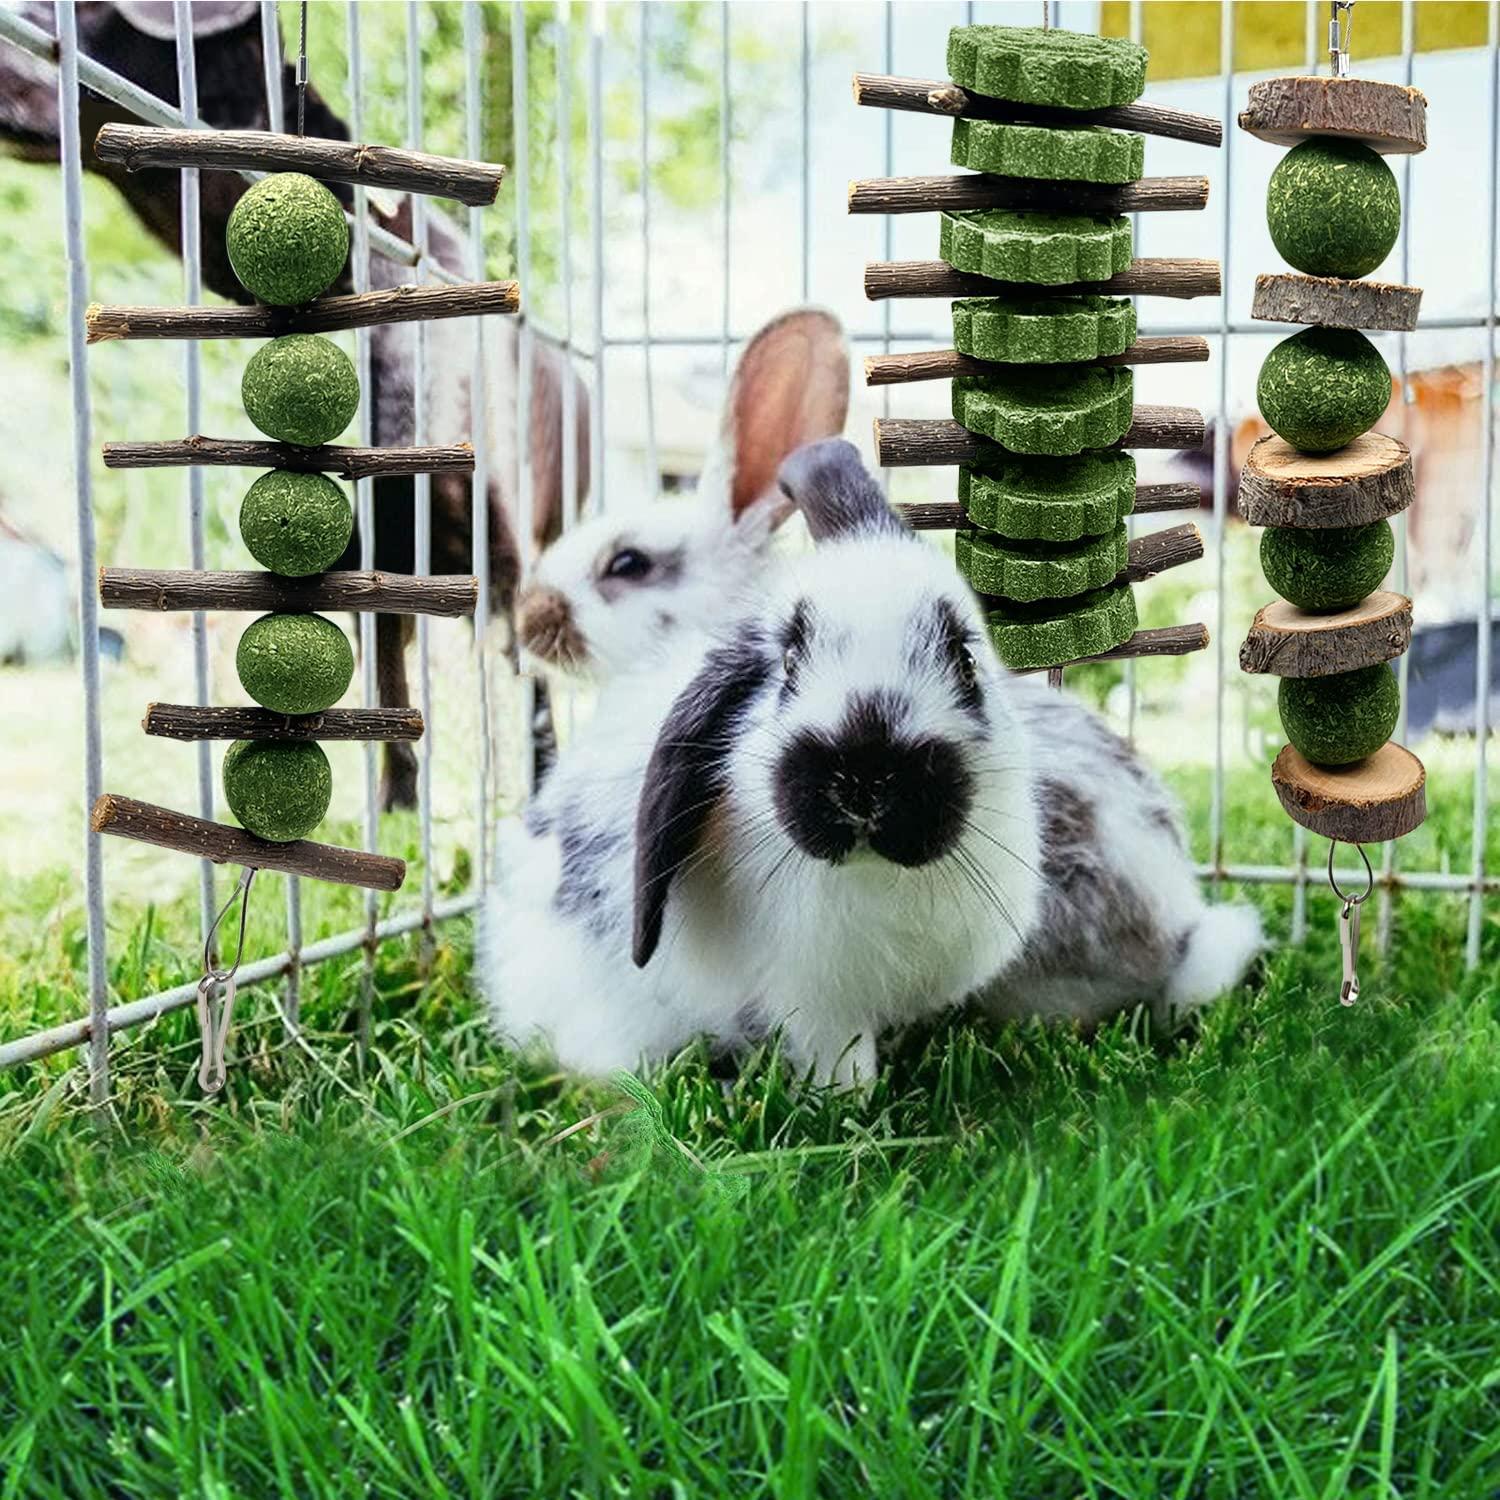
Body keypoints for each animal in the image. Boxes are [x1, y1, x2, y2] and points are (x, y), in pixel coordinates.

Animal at [481, 439, 1261, 1086]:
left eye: (965, 659)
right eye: (787, 663)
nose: (864, 776)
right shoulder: (815, 1003)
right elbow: (840, 1065)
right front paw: (849, 1113)